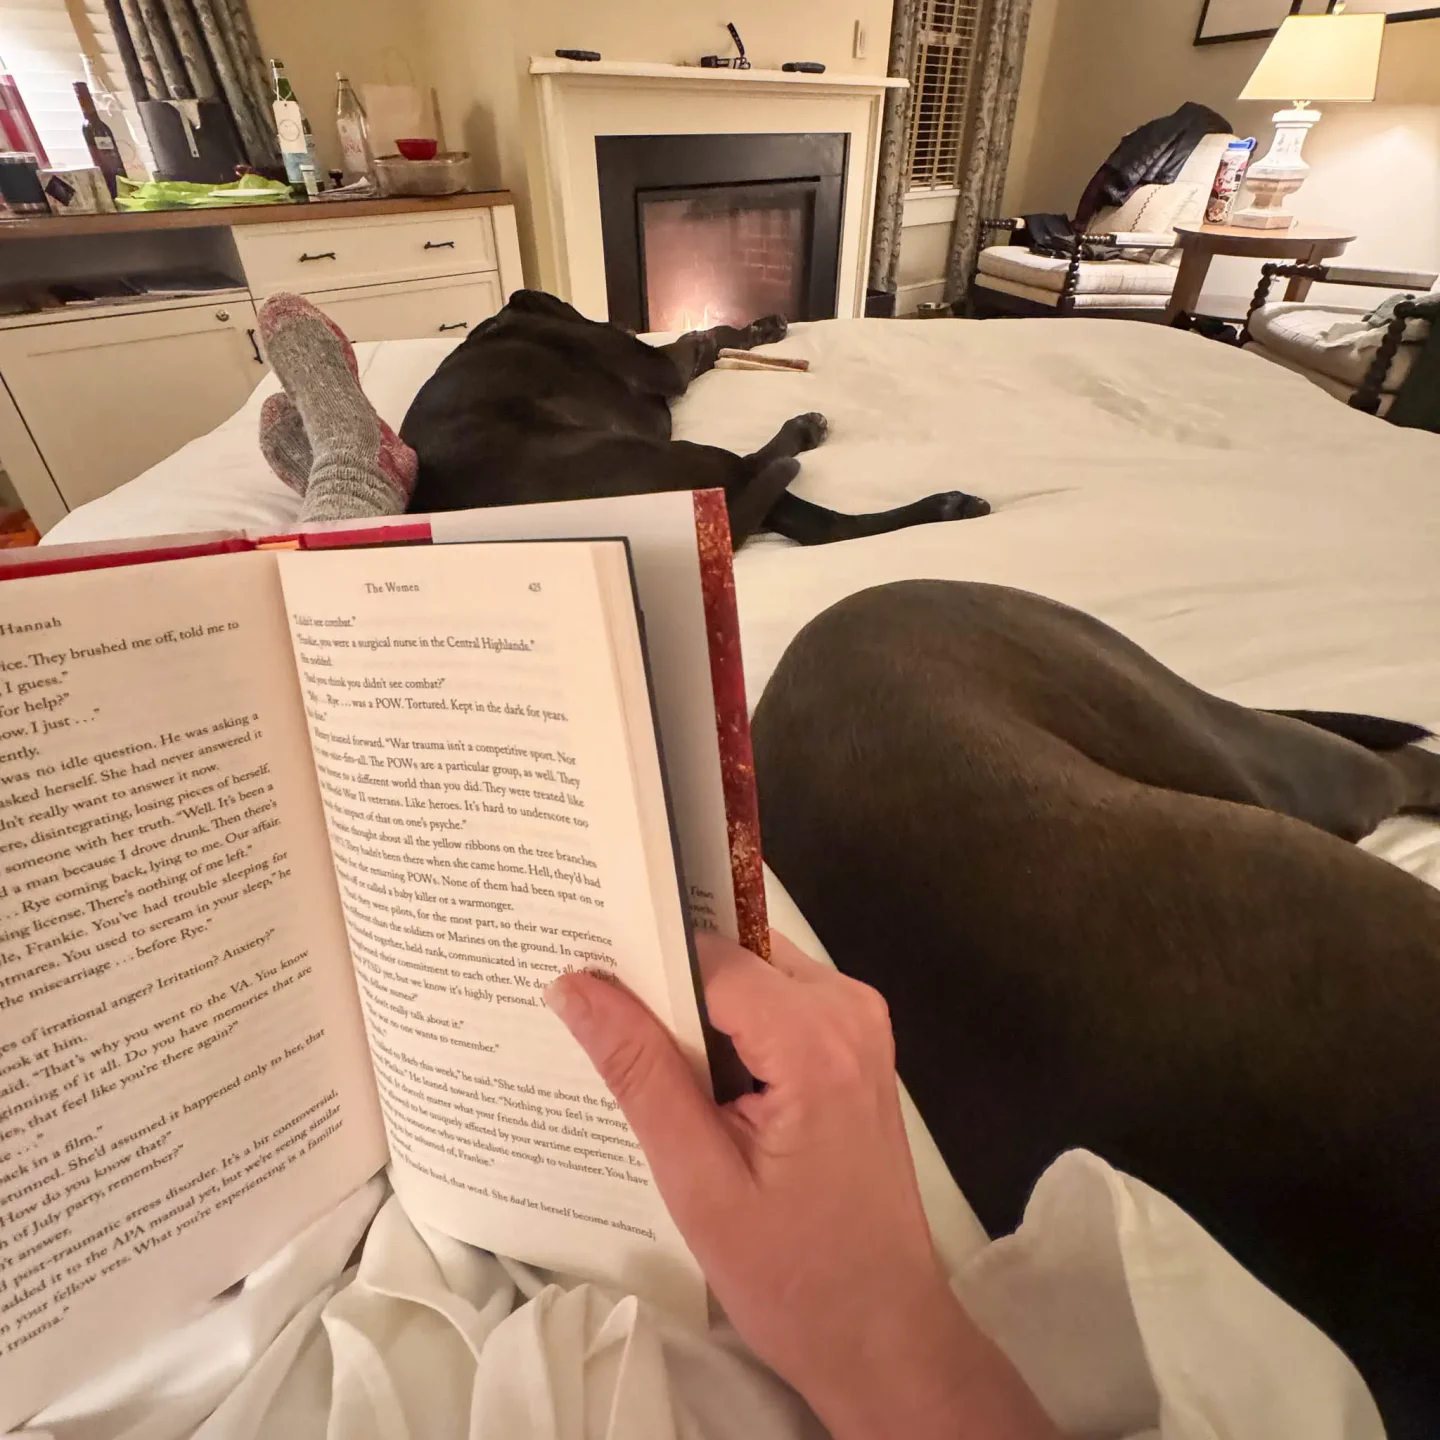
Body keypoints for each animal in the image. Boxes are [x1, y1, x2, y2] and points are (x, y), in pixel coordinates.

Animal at [400, 290, 996, 544]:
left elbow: (712, 339)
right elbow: (699, 337)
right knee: (800, 503)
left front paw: (762, 328)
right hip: (679, 457)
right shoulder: (661, 367)